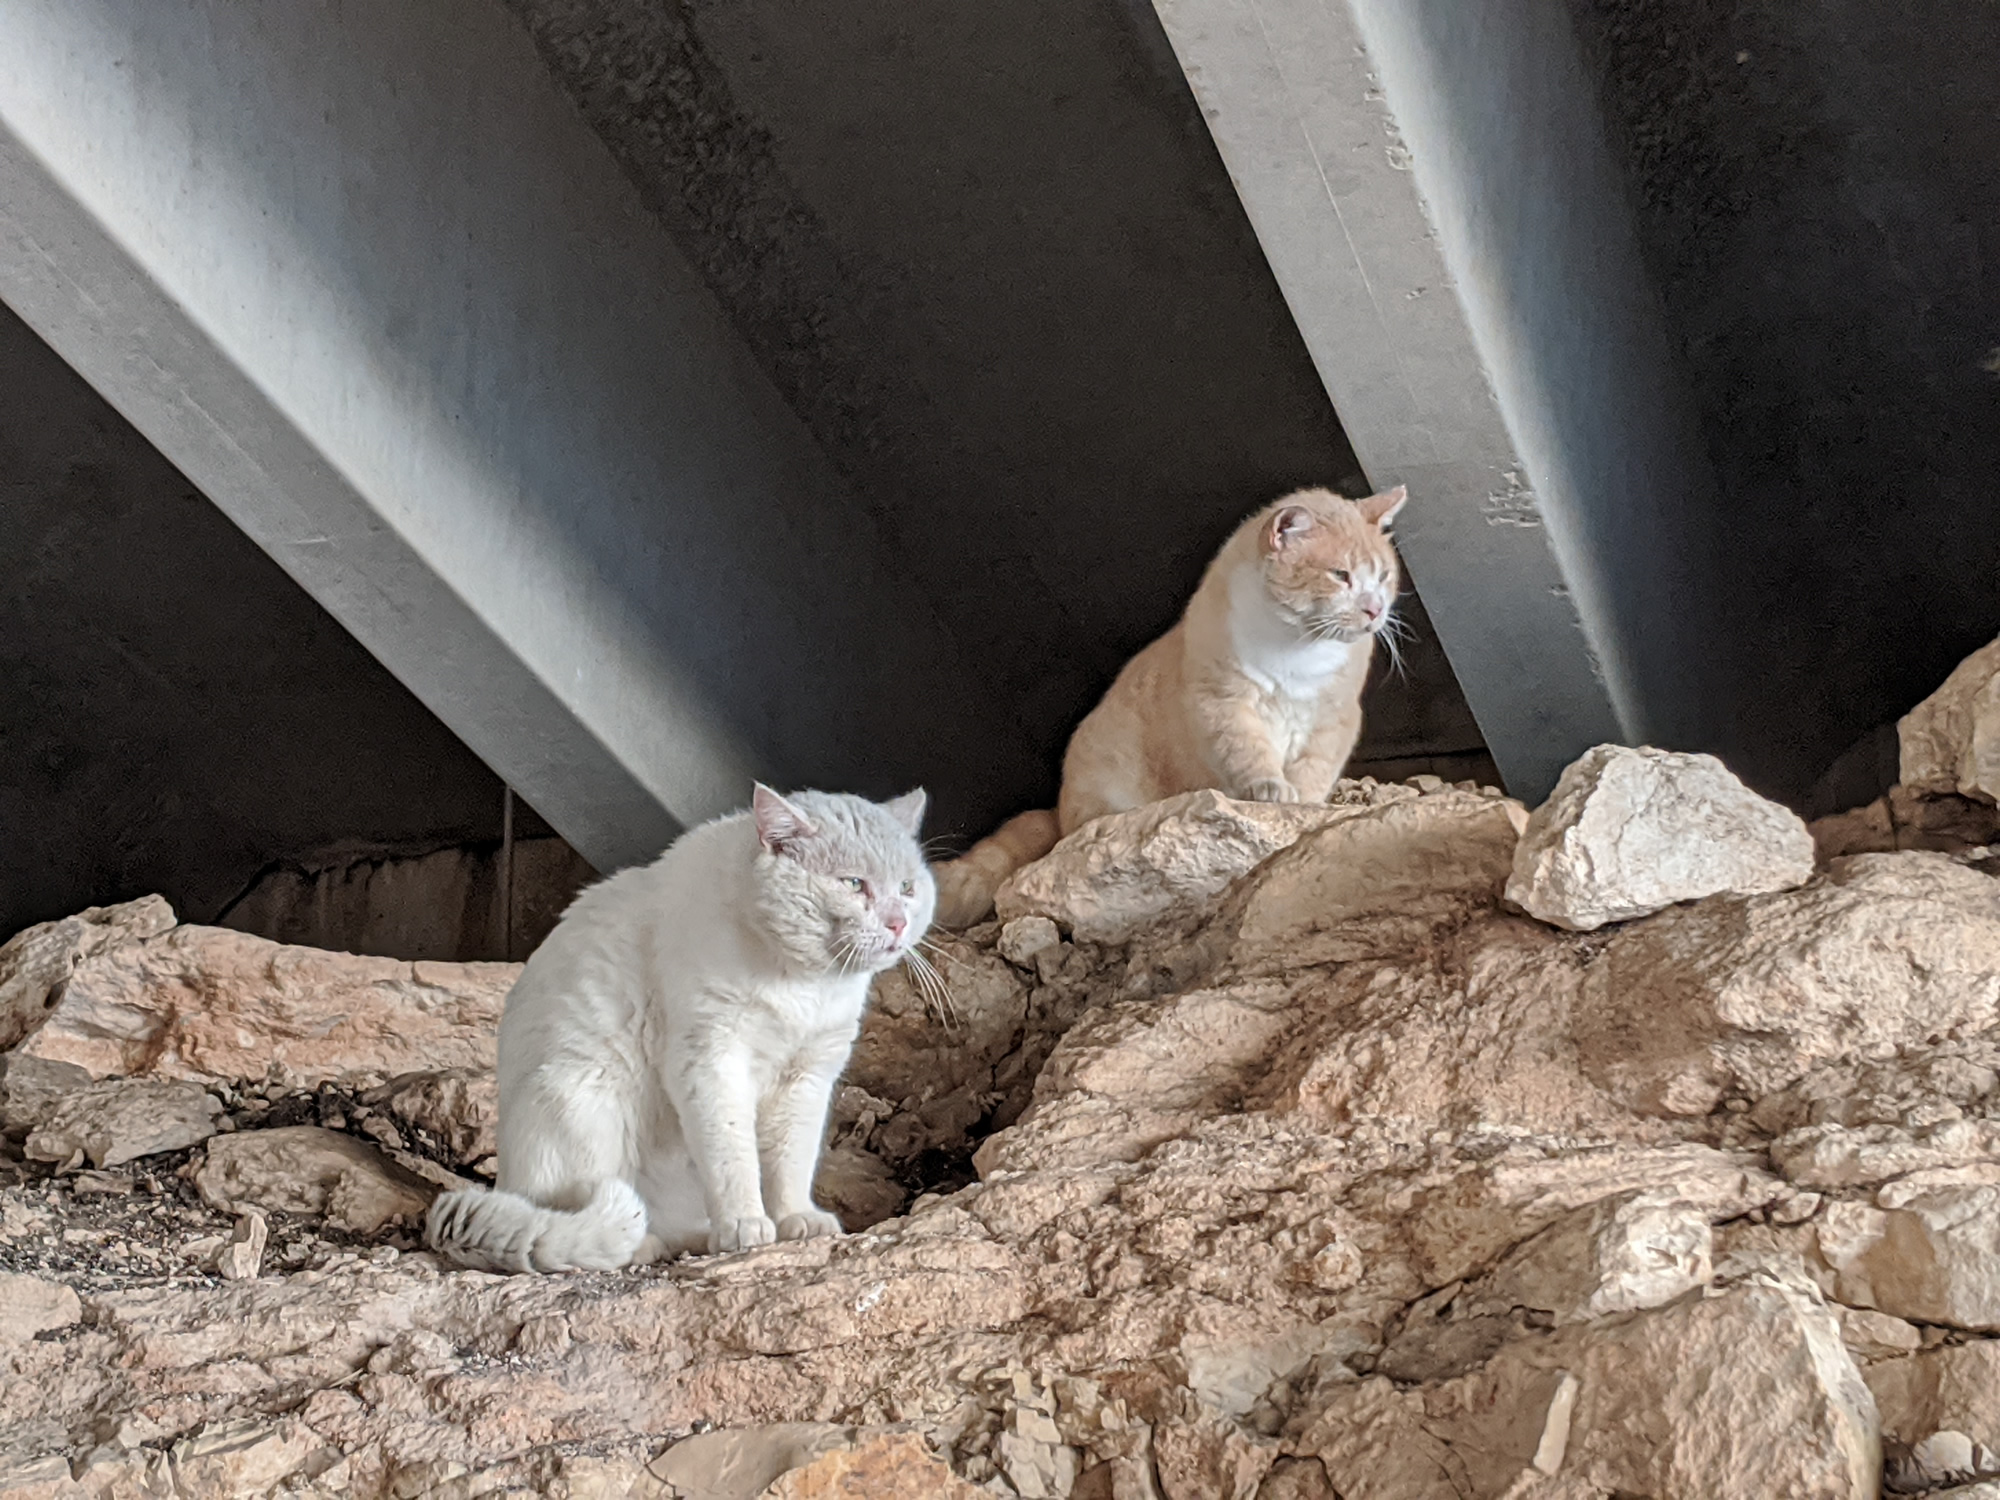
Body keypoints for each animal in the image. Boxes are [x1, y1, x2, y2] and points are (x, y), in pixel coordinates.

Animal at [426, 784, 935, 1273]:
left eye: (907, 887)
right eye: (854, 884)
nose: (897, 922)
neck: (804, 985)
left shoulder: (806, 1079)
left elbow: (791, 1163)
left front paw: (796, 1219)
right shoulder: (710, 1061)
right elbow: (733, 1159)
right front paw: (744, 1225)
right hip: (583, 1097)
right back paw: (651, 1243)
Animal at [933, 485, 1407, 927]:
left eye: (1383, 576)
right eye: (1341, 575)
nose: (1374, 610)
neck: (1297, 649)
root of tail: (1059, 810)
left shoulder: (1334, 719)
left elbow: (1313, 770)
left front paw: (1305, 805)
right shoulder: (1223, 702)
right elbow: (1251, 754)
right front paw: (1272, 789)